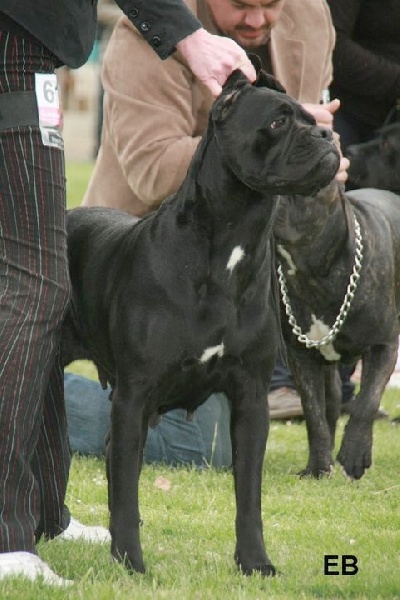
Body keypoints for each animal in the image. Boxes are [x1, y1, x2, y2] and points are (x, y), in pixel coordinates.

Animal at [61, 68, 338, 576]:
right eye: (277, 122)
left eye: (313, 118)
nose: (327, 135)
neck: (229, 249)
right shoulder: (134, 396)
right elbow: (126, 490)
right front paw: (131, 563)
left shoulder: (250, 398)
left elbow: (249, 495)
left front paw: (255, 562)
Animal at [274, 183, 400, 478]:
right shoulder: (301, 356)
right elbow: (314, 413)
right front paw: (318, 467)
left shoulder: (383, 346)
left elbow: (367, 402)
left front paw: (354, 455)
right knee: (330, 402)